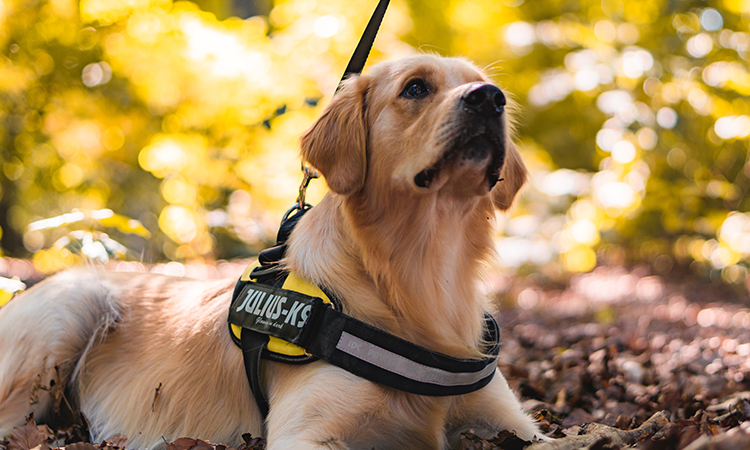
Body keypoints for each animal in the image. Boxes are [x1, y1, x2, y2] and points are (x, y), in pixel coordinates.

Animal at [0, 54, 544, 448]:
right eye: (415, 88)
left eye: (486, 87)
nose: (490, 99)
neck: (422, 277)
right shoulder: (305, 433)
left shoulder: (512, 422)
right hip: (63, 315)